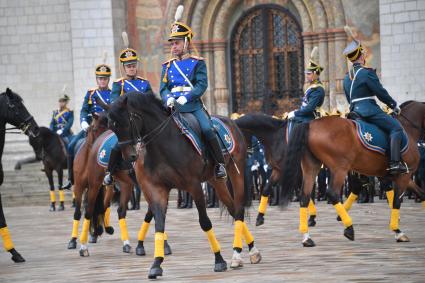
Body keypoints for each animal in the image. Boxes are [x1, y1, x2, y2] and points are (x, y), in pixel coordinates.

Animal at [106, 92, 260, 280]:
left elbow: (205, 223)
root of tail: (230, 121)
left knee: (238, 210)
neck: (163, 144)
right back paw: (248, 251)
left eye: (126, 123)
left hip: (235, 172)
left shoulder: (194, 186)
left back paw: (240, 253)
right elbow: (159, 223)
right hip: (216, 181)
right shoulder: (156, 189)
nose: (130, 157)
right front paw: (156, 264)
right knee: (232, 208)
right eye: (112, 127)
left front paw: (219, 260)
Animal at [278, 101, 424, 247]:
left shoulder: (399, 175)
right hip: (339, 168)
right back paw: (349, 227)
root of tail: (311, 125)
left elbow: (420, 193)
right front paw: (398, 231)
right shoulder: (404, 175)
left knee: (305, 196)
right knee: (332, 193)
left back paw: (307, 237)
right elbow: (397, 201)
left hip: (312, 167)